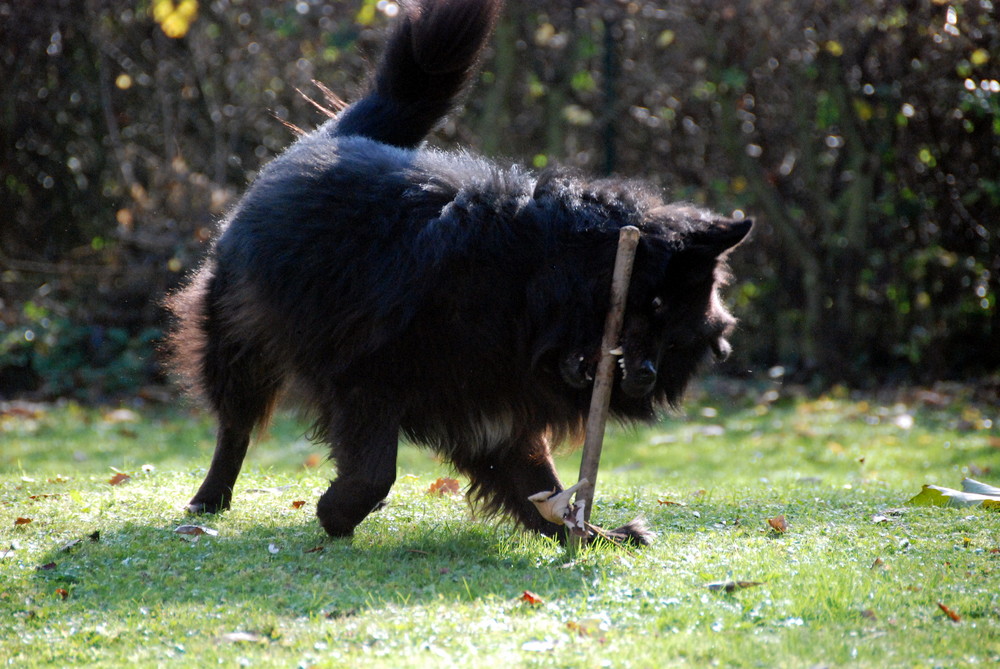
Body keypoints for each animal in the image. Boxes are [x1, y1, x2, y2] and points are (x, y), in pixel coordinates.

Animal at [168, 0, 752, 544]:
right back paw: (210, 498)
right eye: (651, 305)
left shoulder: (495, 407)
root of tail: (338, 135)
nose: (647, 376)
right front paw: (337, 513)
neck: (531, 283)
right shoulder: (365, 376)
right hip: (241, 333)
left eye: (676, 341)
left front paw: (596, 536)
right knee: (235, 424)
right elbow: (376, 470)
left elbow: (542, 490)